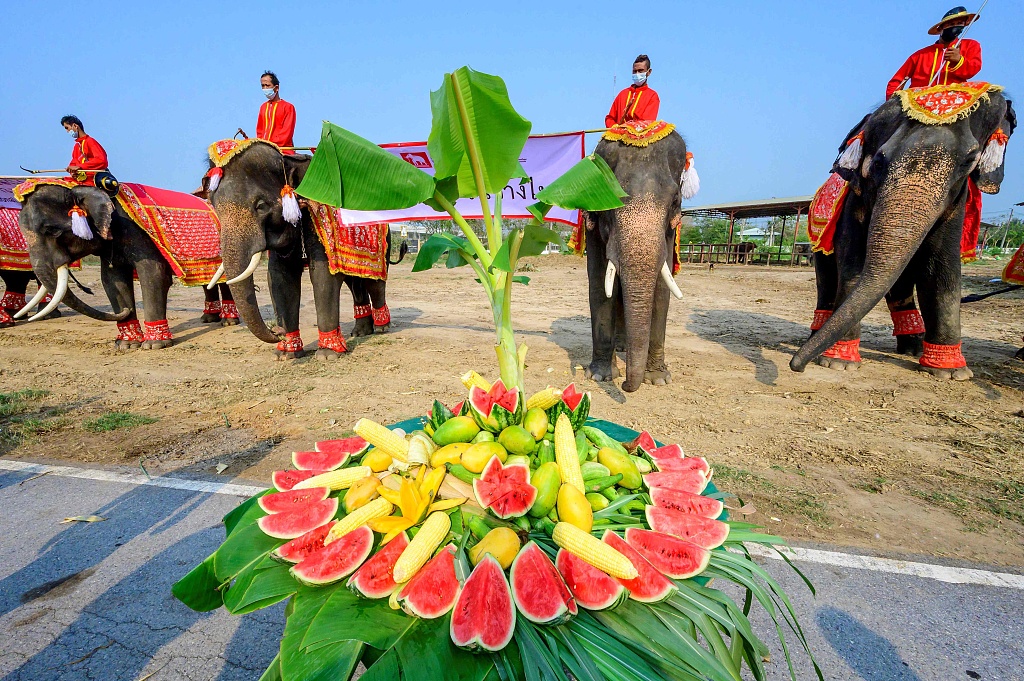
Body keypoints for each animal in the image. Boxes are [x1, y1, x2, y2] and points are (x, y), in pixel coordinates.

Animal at [13, 180, 237, 348]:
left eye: (52, 231)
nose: (126, 311)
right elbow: (112, 280)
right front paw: (127, 344)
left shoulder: (138, 233)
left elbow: (154, 275)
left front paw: (154, 345)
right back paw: (208, 319)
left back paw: (228, 321)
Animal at [201, 139, 405, 360]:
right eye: (214, 205)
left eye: (261, 206)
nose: (277, 331)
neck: (288, 160)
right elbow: (279, 277)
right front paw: (285, 354)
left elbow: (323, 276)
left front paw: (327, 355)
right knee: (354, 281)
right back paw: (360, 332)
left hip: (383, 240)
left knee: (374, 281)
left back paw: (382, 327)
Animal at [581, 129, 692, 391]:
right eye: (607, 200)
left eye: (675, 201)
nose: (625, 385)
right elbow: (600, 284)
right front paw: (600, 376)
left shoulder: (669, 232)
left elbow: (661, 291)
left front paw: (658, 379)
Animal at [794, 87, 1011, 378]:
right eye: (878, 162)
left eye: (968, 161)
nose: (796, 365)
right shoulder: (853, 204)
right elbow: (853, 265)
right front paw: (837, 362)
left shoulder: (955, 208)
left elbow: (942, 272)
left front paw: (950, 372)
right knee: (828, 279)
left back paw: (912, 349)